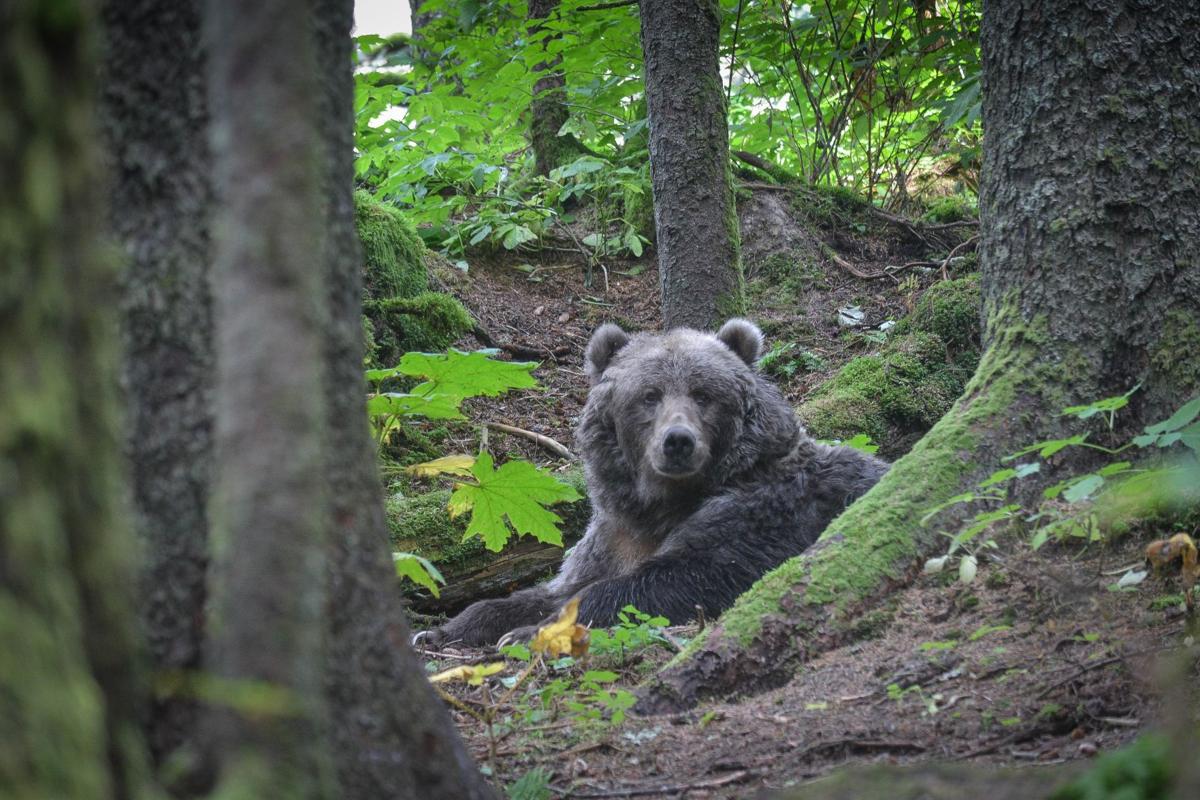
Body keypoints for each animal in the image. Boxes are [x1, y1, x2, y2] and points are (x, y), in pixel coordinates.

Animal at [416, 319, 889, 647]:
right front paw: (448, 629)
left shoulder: (760, 513)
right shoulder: (614, 536)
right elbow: (555, 588)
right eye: (649, 395)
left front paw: (530, 632)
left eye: (703, 393)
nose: (678, 441)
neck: (663, 504)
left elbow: (672, 578)